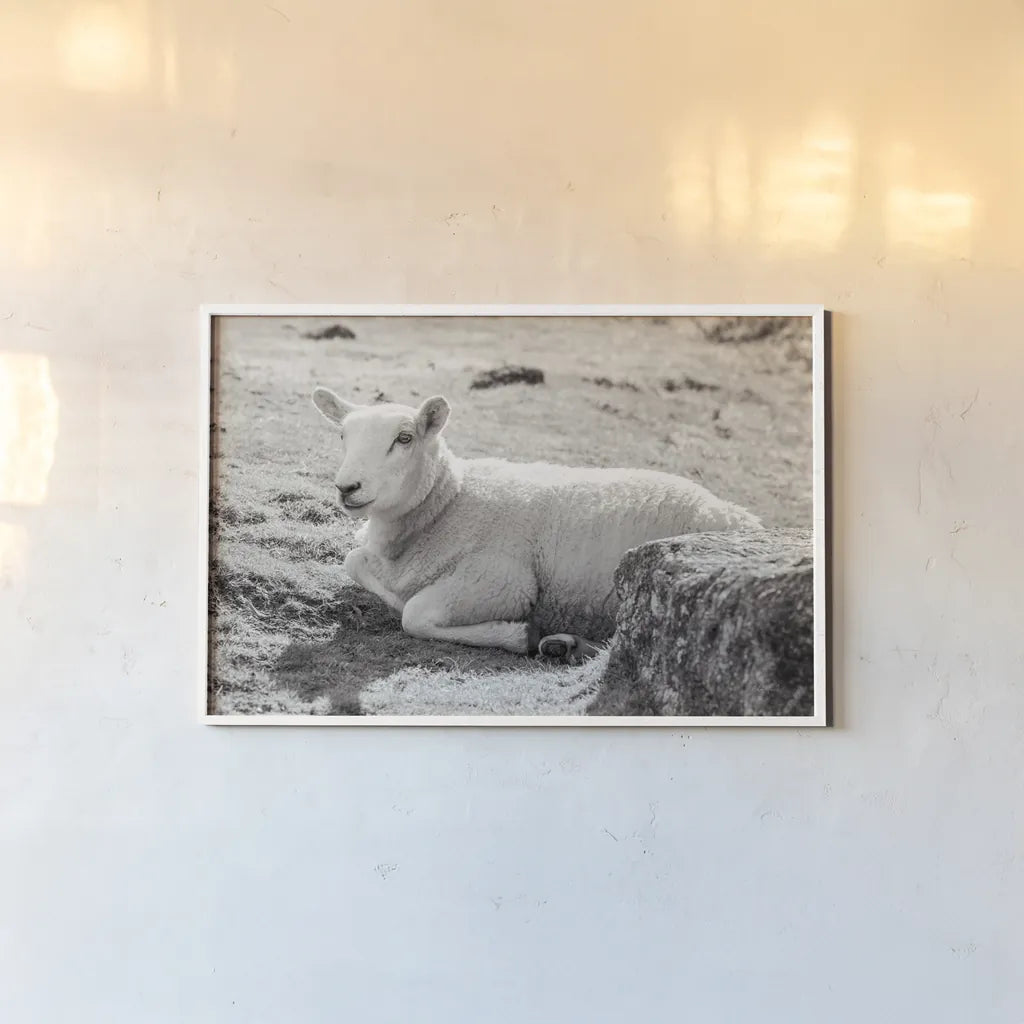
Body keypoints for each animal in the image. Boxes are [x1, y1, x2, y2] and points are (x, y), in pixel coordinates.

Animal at [311, 387, 762, 659]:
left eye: (404, 439)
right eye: (342, 437)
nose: (347, 487)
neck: (449, 503)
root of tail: (744, 518)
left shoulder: (503, 580)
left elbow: (415, 615)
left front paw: (519, 634)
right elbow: (353, 561)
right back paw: (566, 645)